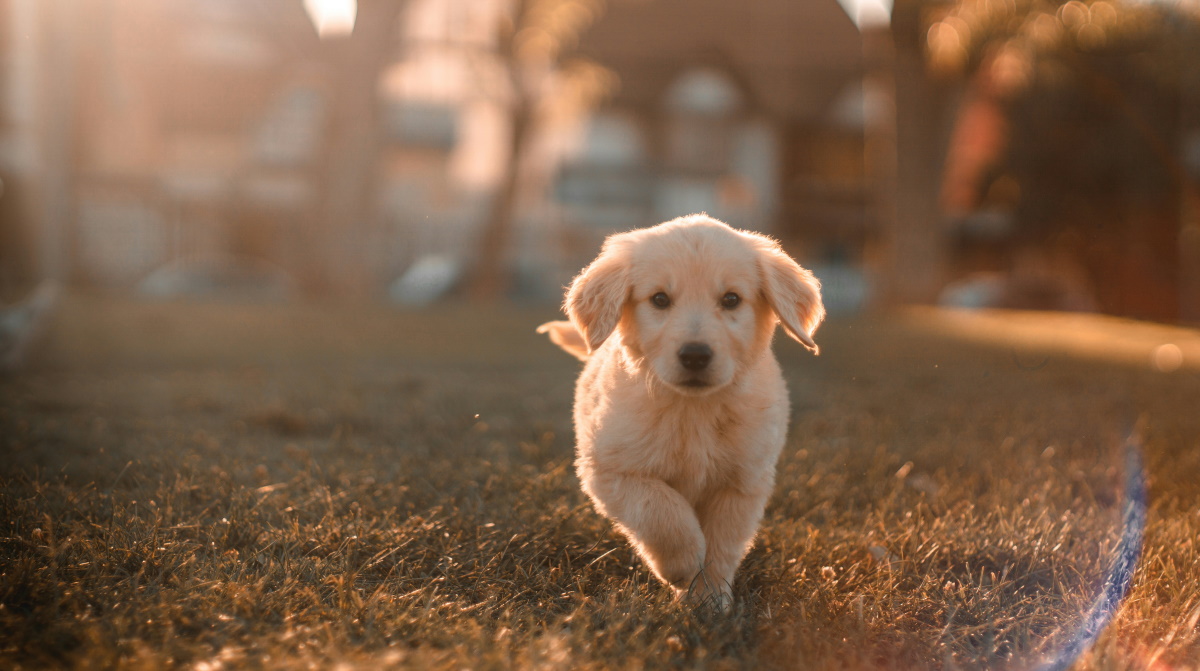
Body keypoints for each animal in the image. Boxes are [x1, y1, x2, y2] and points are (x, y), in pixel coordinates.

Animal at [537, 213, 825, 609]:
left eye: (731, 299)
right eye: (660, 299)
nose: (695, 355)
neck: (693, 409)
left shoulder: (743, 481)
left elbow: (722, 544)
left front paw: (709, 598)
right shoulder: (611, 469)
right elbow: (662, 511)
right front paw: (684, 565)